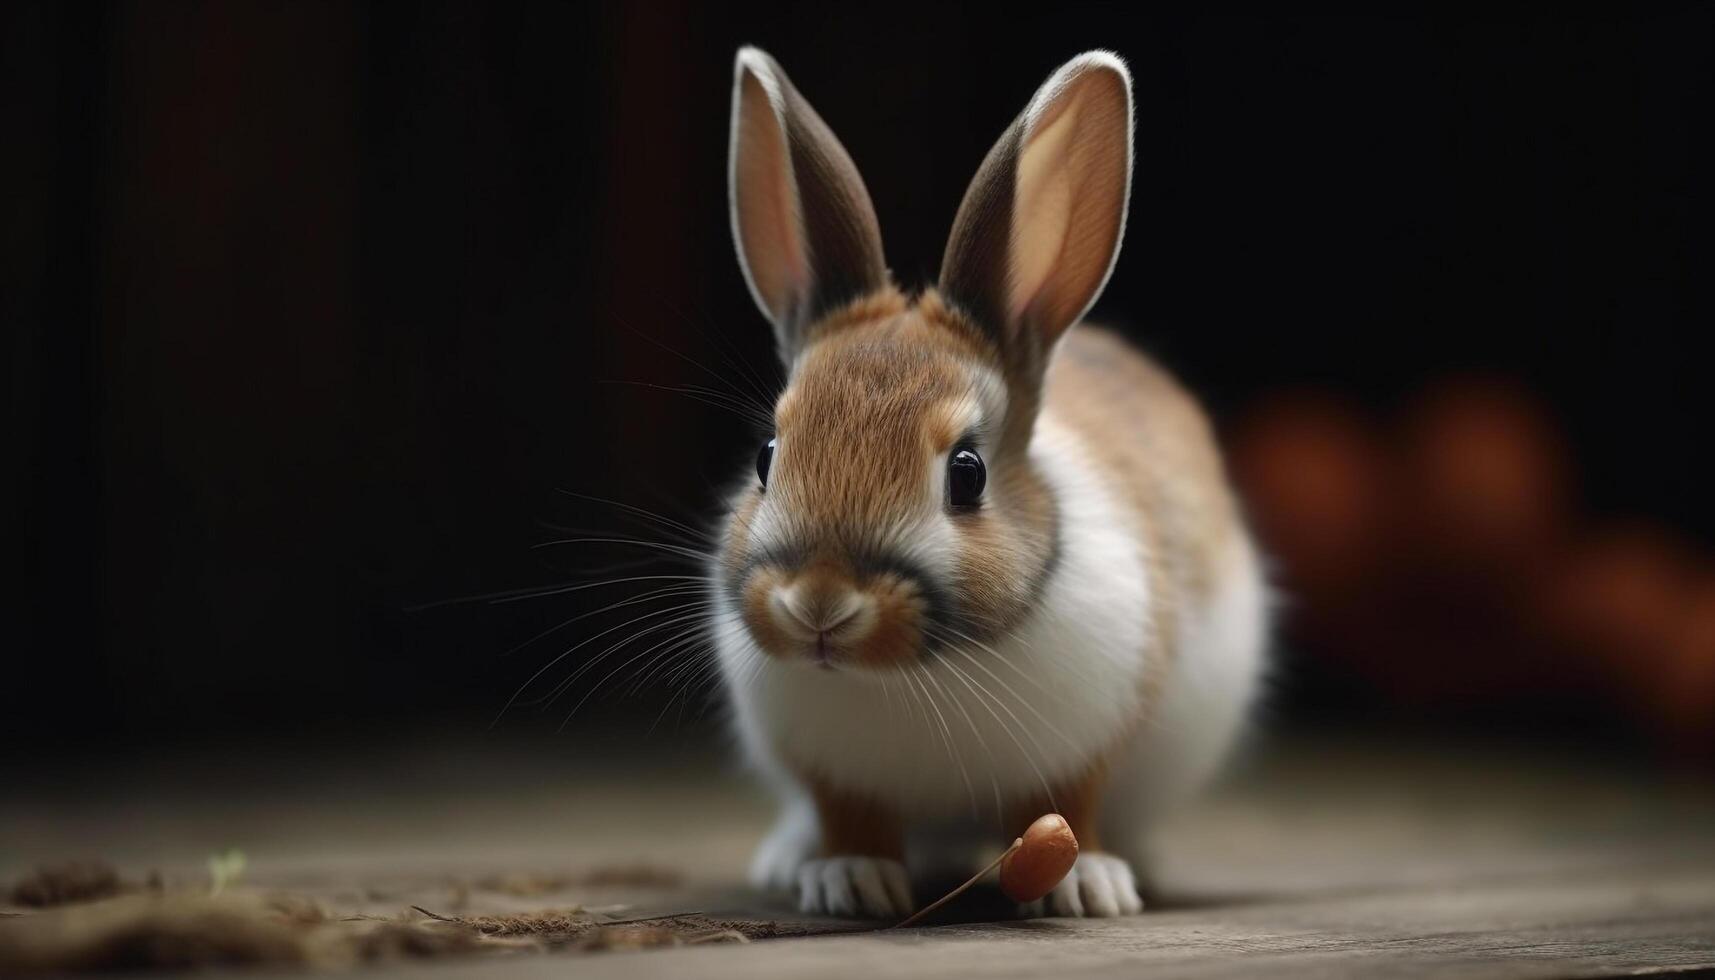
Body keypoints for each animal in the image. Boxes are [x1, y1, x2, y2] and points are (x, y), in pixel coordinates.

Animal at [710, 45, 1275, 919]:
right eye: (767, 456)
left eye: (967, 474)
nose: (819, 606)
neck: (914, 673)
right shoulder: (830, 774)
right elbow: (851, 818)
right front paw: (850, 881)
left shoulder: (1083, 748)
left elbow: (1069, 805)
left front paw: (1083, 885)